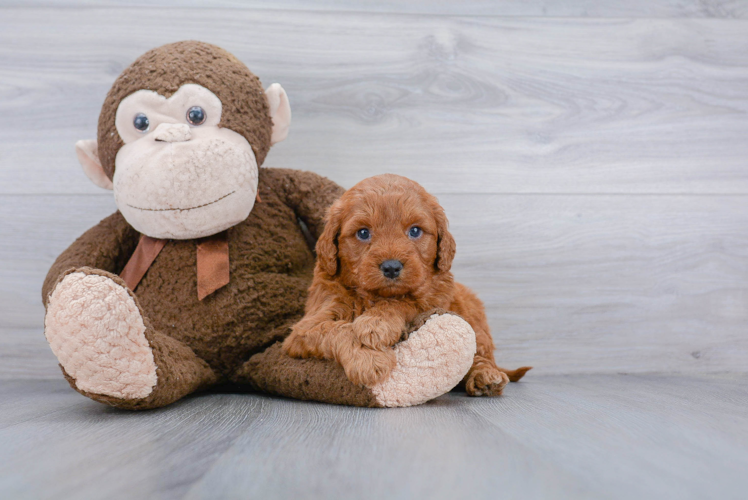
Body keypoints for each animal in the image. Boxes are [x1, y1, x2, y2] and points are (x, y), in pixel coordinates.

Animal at [282, 174, 532, 396]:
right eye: (363, 233)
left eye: (414, 231)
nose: (391, 267)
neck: (374, 296)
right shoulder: (305, 328)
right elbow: (336, 329)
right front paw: (368, 359)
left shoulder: (433, 299)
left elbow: (405, 303)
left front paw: (376, 323)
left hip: (474, 318)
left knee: (479, 356)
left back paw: (485, 377)